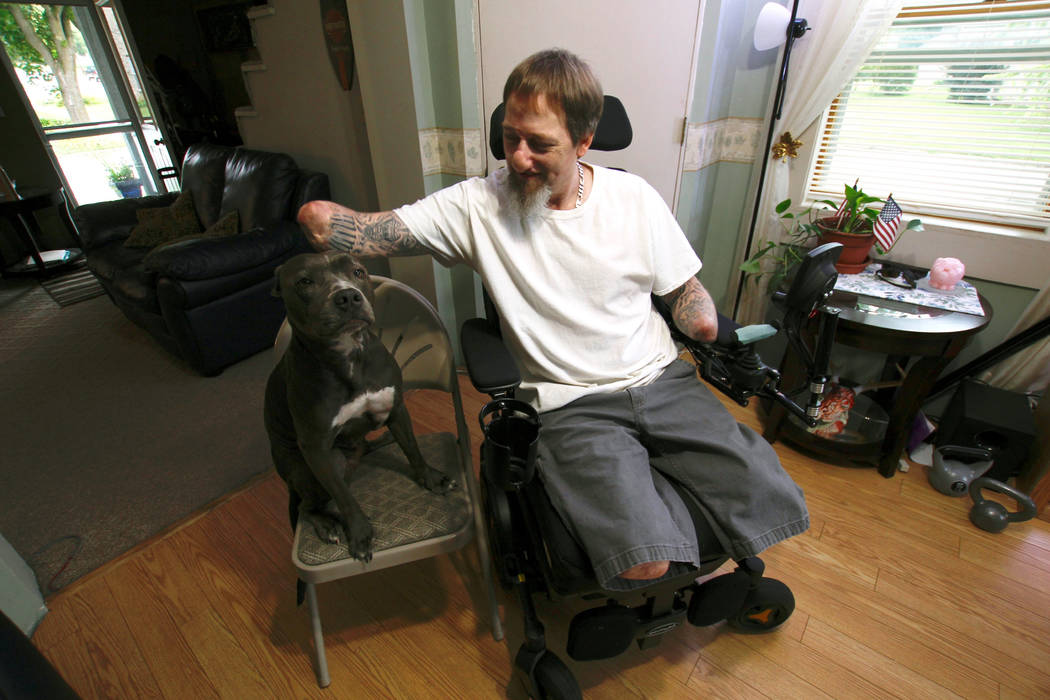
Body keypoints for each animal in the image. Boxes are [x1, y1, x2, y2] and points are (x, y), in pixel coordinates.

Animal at [264, 251, 453, 562]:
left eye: (358, 272)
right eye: (305, 281)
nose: (347, 296)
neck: (350, 355)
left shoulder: (396, 408)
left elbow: (413, 449)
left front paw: (431, 479)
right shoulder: (317, 448)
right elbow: (345, 497)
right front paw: (360, 534)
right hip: (319, 467)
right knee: (307, 506)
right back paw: (327, 526)